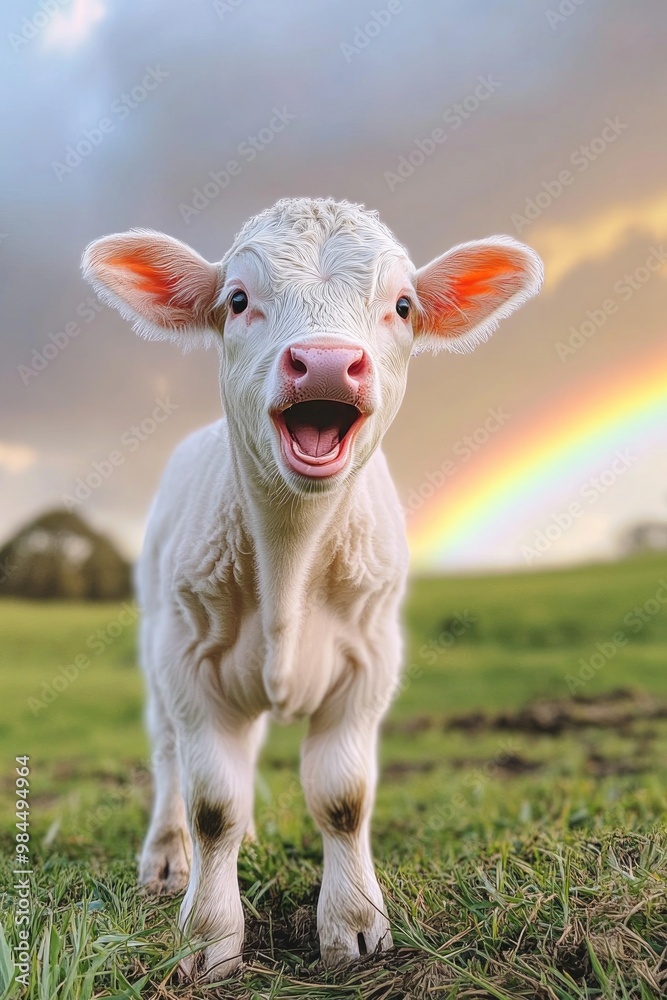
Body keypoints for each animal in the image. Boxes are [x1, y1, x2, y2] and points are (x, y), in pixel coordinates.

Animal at [82, 197, 542, 981]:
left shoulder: (370, 659)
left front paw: (352, 927)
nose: (326, 362)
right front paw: (208, 935)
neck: (288, 565)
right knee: (171, 759)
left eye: (402, 305)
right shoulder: (188, 661)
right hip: (155, 641)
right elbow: (212, 805)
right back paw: (170, 859)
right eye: (238, 300)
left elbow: (342, 798)